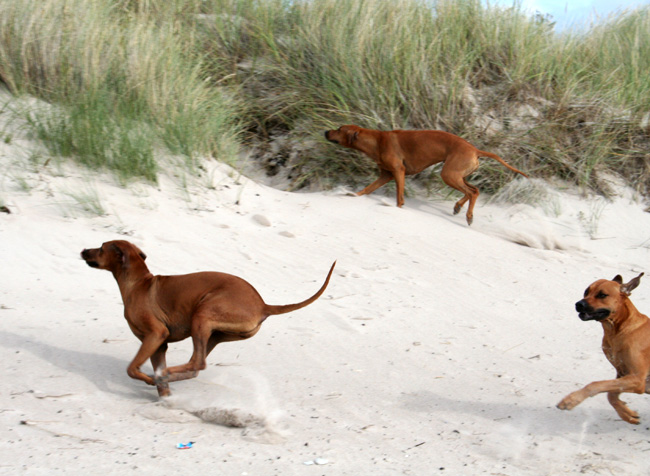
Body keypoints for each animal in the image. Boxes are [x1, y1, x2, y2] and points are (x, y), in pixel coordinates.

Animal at [81, 240, 334, 396]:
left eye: (101, 248)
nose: (83, 250)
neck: (138, 284)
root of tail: (263, 305)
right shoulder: (158, 344)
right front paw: (163, 394)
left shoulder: (156, 334)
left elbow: (132, 369)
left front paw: (153, 380)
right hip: (215, 333)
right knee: (196, 365)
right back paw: (167, 377)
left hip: (201, 316)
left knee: (197, 363)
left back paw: (166, 374)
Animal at [324, 124, 528, 225]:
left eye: (339, 129)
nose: (325, 131)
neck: (377, 141)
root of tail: (475, 149)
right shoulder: (385, 175)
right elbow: (367, 189)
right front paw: (353, 195)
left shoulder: (398, 171)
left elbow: (399, 196)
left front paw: (398, 208)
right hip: (457, 175)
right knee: (474, 190)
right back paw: (458, 207)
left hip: (449, 175)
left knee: (472, 192)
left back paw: (468, 216)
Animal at [552, 272, 648, 424]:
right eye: (586, 292)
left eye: (602, 295)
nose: (579, 304)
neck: (619, 329)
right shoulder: (623, 374)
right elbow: (610, 394)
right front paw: (626, 413)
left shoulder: (638, 379)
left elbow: (596, 384)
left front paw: (571, 400)